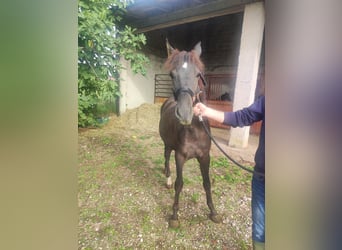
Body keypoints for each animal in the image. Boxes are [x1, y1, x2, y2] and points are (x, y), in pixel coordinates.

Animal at [158, 41, 220, 229]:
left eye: (198, 74)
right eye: (172, 74)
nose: (185, 113)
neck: (194, 130)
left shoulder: (205, 157)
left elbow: (207, 183)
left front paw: (213, 212)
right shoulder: (180, 156)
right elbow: (179, 184)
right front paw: (174, 216)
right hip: (167, 144)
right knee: (166, 158)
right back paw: (168, 180)